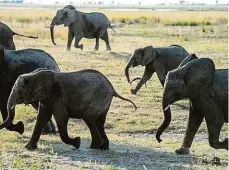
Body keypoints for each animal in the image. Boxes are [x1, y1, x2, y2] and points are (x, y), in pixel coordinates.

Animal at [0, 68, 137, 149]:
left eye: (19, 92)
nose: (20, 125)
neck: (34, 75)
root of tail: (113, 89)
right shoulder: (47, 98)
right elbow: (42, 118)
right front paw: (28, 148)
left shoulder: (58, 96)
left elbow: (61, 117)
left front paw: (77, 142)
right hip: (104, 101)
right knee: (99, 123)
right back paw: (103, 147)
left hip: (100, 97)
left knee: (89, 118)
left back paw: (94, 147)